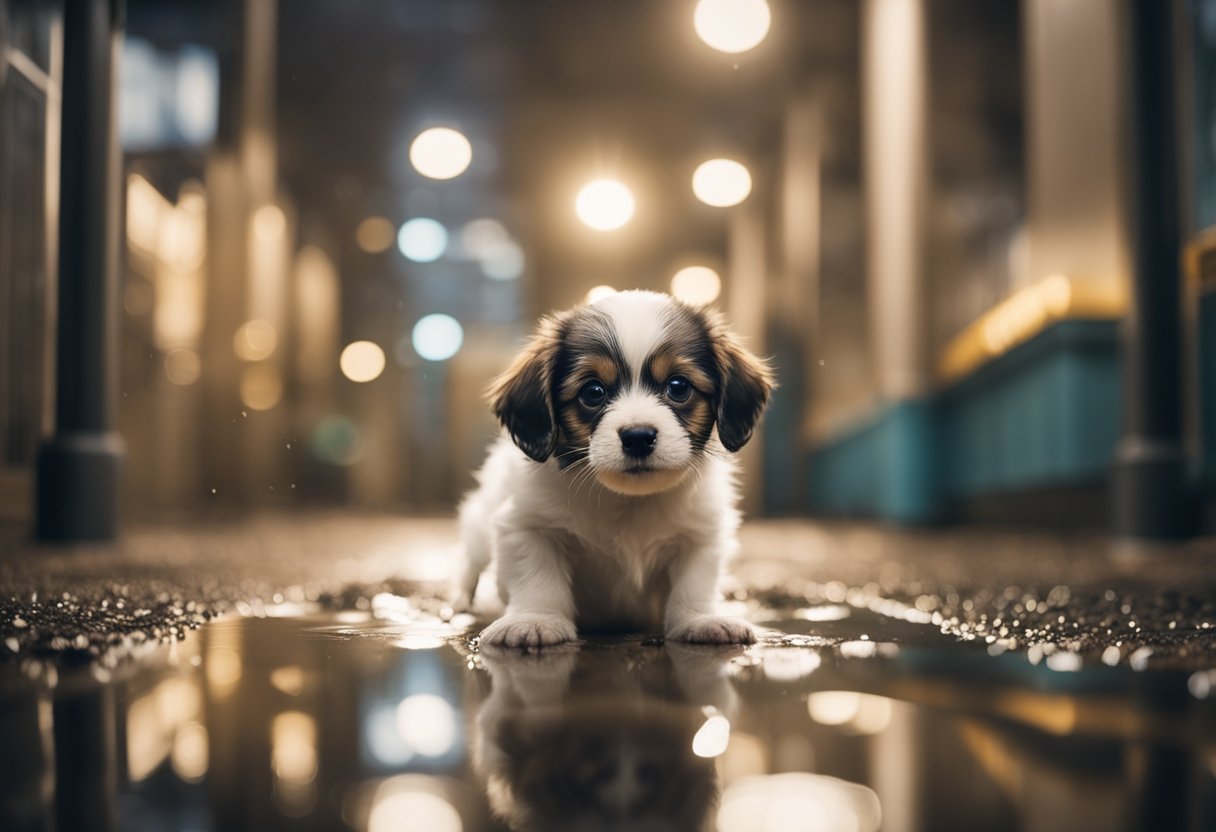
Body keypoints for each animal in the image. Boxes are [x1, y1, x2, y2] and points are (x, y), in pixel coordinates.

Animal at [457, 289, 768, 647]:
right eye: (593, 392)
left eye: (678, 386)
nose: (638, 437)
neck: (627, 499)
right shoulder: (526, 526)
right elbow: (536, 577)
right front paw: (534, 620)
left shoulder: (702, 534)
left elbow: (695, 582)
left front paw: (700, 620)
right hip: (479, 526)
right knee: (470, 562)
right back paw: (459, 602)